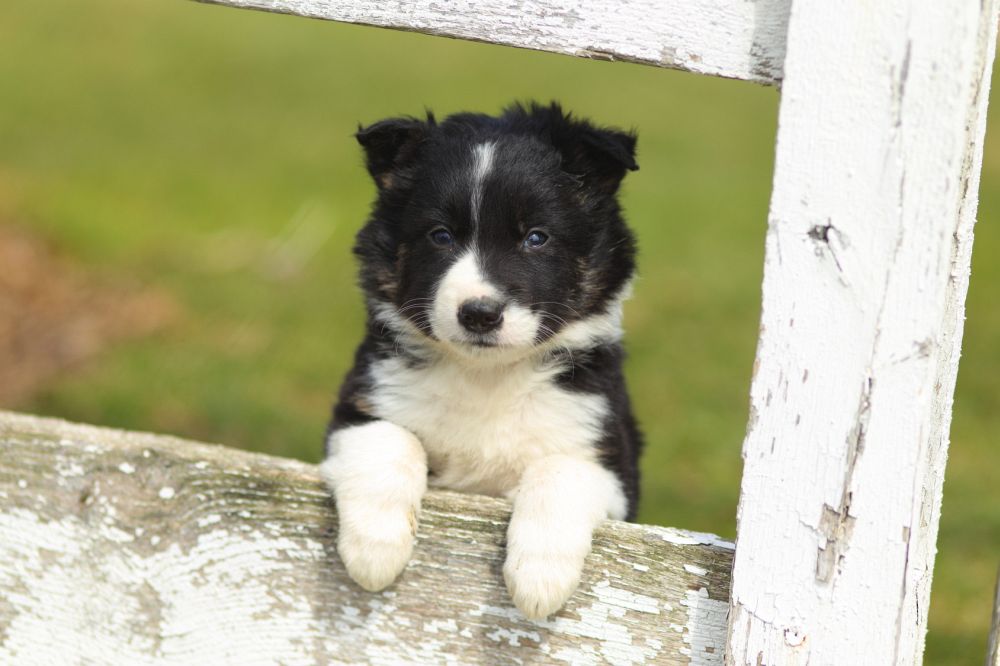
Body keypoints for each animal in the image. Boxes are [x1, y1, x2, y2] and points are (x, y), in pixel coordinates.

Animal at [324, 101, 644, 620]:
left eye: (536, 237)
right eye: (440, 236)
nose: (479, 314)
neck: (486, 376)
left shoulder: (607, 459)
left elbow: (558, 472)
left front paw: (538, 581)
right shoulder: (362, 405)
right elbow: (391, 441)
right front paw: (375, 552)